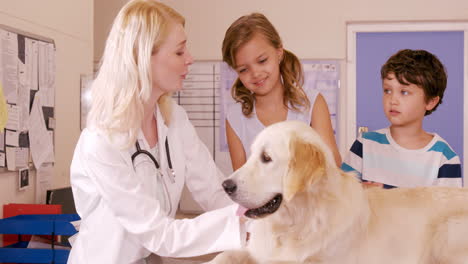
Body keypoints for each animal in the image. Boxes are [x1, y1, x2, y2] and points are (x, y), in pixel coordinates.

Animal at [207, 120, 468, 264]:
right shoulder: (257, 251)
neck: (300, 220)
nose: (226, 185)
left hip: (449, 231)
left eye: (266, 158)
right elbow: (226, 255)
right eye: (251, 155)